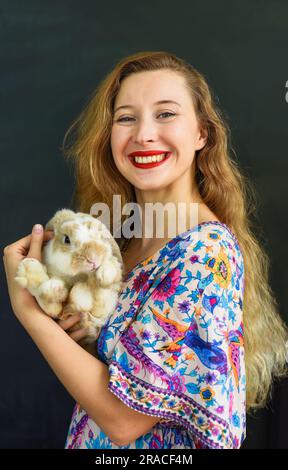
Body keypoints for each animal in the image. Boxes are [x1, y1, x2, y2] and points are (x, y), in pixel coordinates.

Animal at [14, 209, 124, 352]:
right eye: (66, 239)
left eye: (99, 236)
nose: (93, 259)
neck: (80, 276)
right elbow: (51, 308)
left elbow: (112, 271)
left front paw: (105, 272)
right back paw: (31, 271)